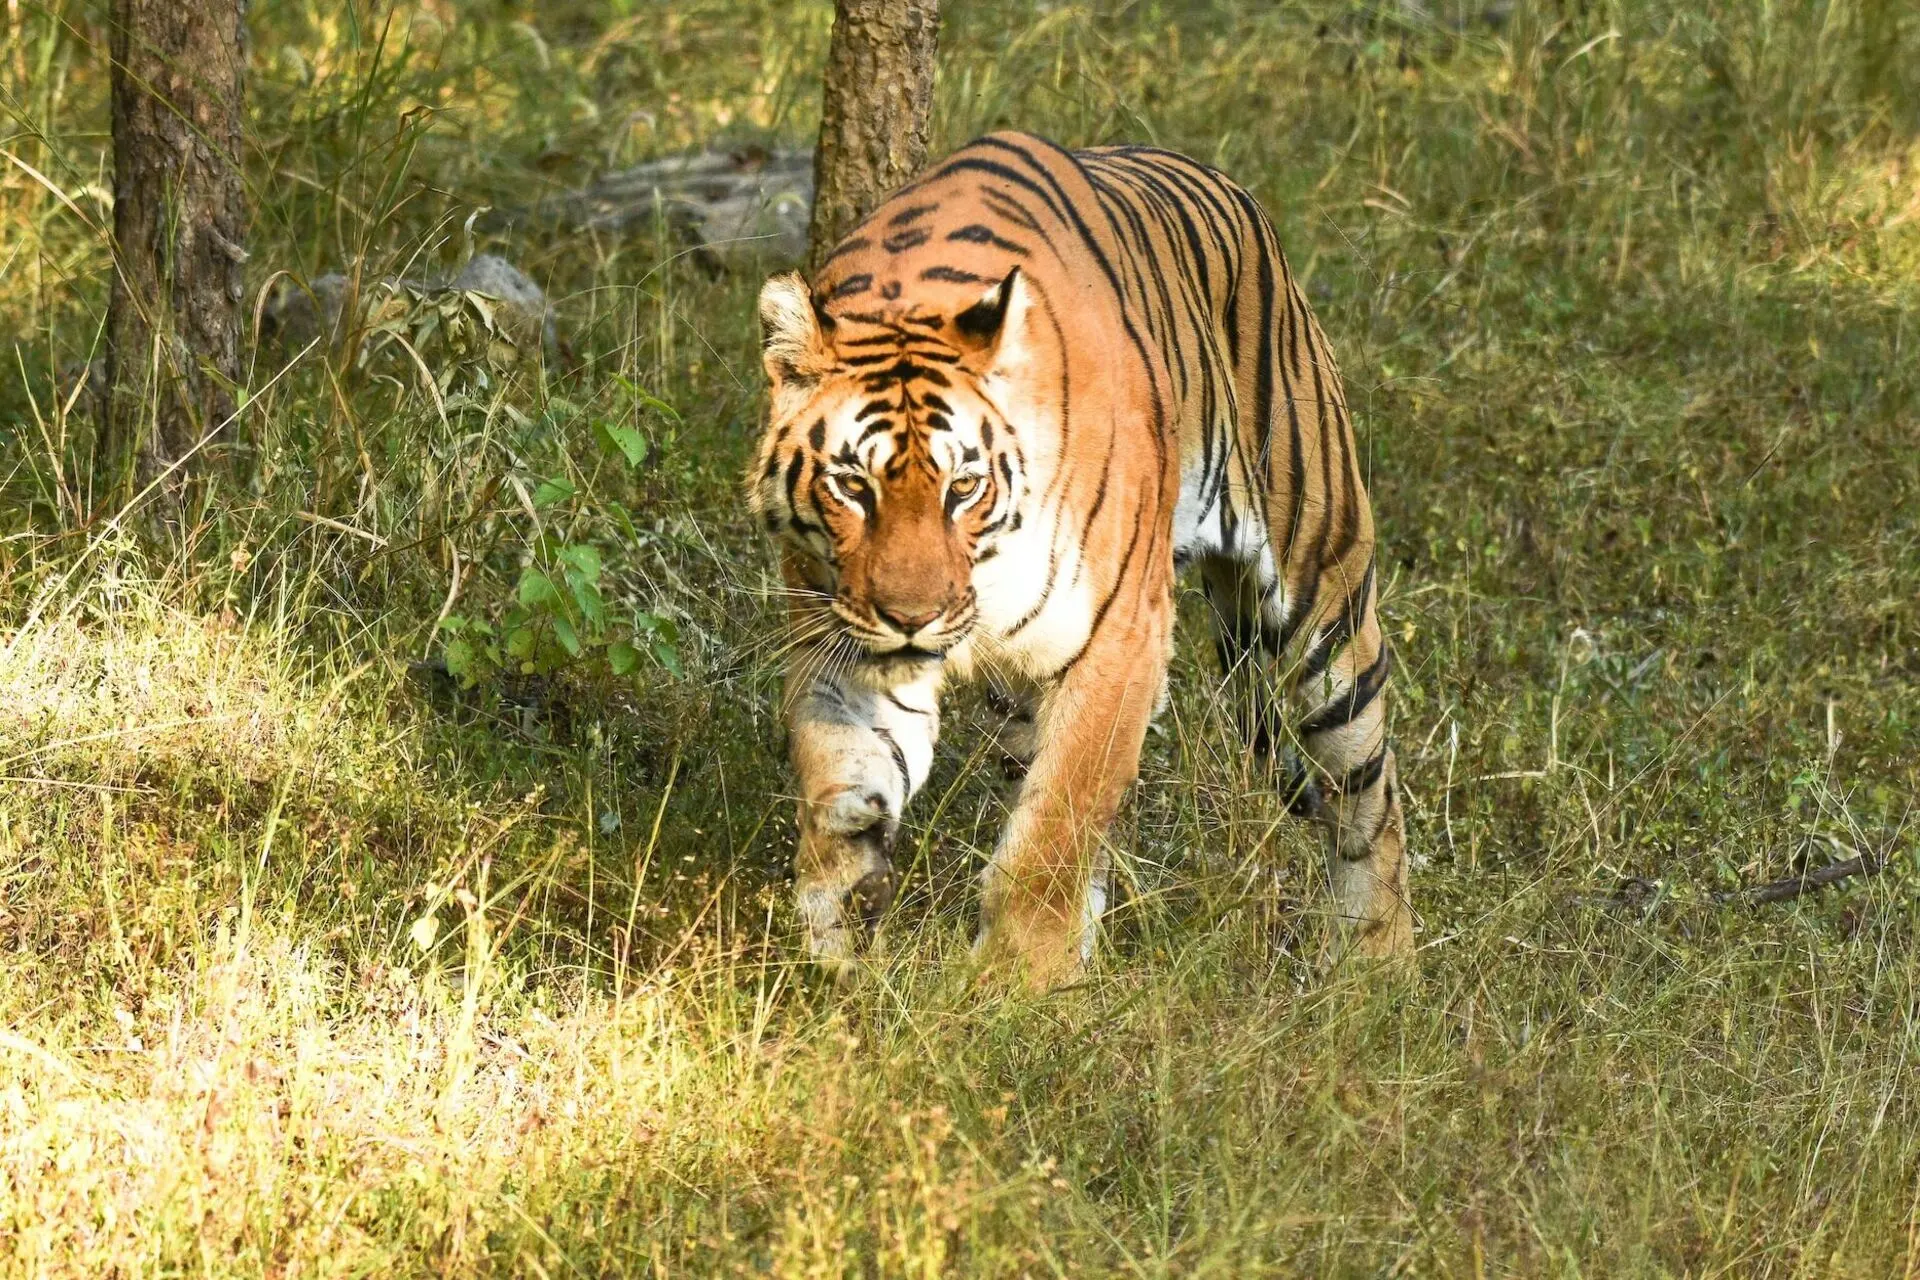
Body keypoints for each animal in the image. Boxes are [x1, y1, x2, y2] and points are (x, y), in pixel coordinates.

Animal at [748, 131, 1413, 988]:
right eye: (852, 486)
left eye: (963, 487)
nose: (912, 617)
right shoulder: (842, 639)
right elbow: (840, 768)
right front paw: (841, 927)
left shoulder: (1119, 637)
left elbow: (1058, 825)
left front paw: (1021, 982)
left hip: (1319, 605)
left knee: (1369, 793)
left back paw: (1380, 962)